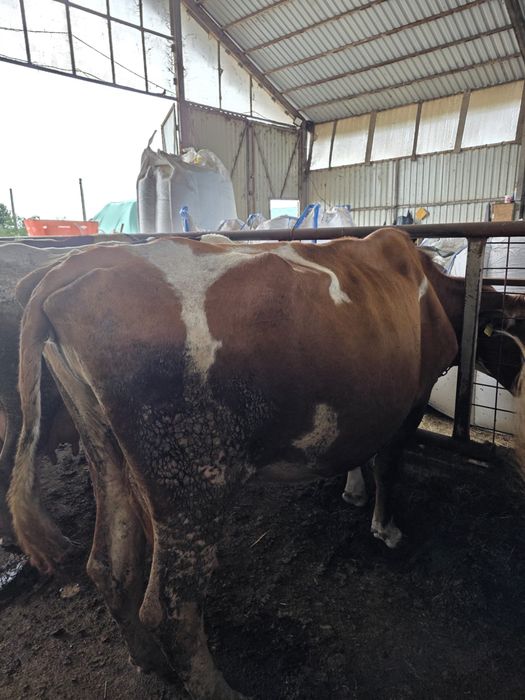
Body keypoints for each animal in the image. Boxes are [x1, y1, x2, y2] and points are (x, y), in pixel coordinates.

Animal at [8, 229, 525, 699]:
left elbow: (360, 454)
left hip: (104, 448)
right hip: (189, 475)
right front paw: (386, 527)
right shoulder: (411, 400)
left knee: (108, 567)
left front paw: (353, 493)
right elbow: (387, 465)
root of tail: (72, 265)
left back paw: (148, 660)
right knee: (171, 606)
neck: (430, 290)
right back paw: (218, 690)